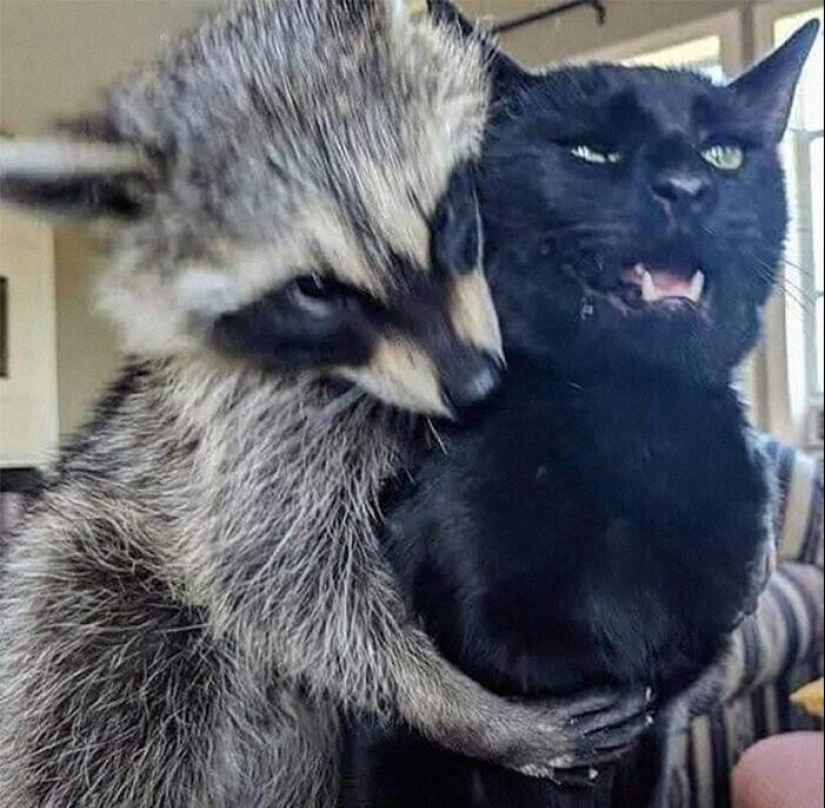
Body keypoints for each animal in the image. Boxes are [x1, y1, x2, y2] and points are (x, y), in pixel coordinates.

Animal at [0, 1, 650, 805]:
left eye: (447, 215)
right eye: (312, 289)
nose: (475, 387)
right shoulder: (250, 424)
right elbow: (280, 578)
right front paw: (457, 706)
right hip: (82, 587)